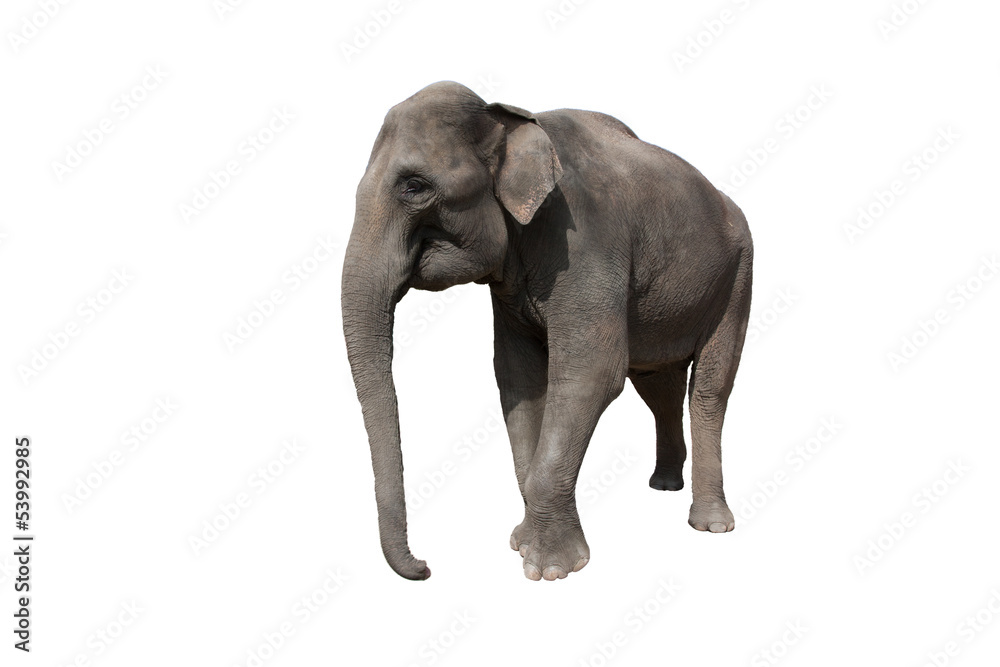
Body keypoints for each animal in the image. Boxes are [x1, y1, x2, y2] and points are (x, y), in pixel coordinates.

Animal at [342, 81, 753, 581]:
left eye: (414, 186)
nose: (425, 567)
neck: (510, 119)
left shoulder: (586, 242)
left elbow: (590, 375)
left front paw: (549, 569)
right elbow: (519, 378)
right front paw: (521, 543)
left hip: (738, 275)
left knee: (710, 391)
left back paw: (710, 525)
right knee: (660, 386)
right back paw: (663, 485)